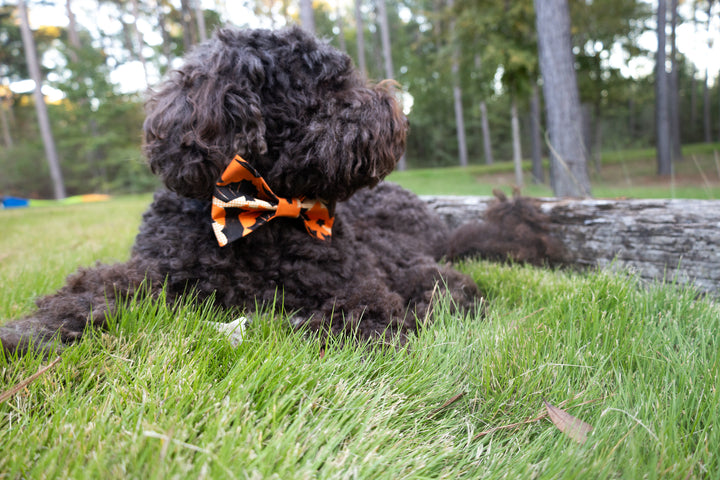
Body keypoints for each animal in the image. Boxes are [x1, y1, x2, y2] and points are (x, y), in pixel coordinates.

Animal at [0, 26, 564, 356]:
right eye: (329, 85)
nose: (395, 109)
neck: (261, 210)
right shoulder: (155, 271)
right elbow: (93, 289)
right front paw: (32, 331)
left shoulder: (358, 281)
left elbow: (360, 309)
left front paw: (309, 323)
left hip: (404, 255)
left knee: (456, 287)